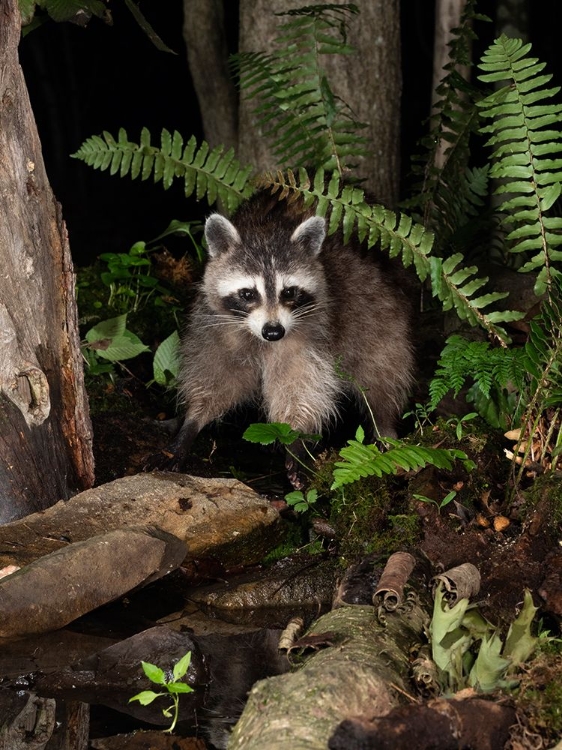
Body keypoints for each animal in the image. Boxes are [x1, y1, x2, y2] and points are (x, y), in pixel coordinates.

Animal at [158, 191, 412, 478]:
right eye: (248, 293)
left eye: (289, 292)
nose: (273, 331)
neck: (266, 229)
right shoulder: (215, 325)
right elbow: (215, 374)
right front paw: (192, 420)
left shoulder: (313, 330)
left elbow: (301, 384)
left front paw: (296, 436)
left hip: (378, 312)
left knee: (382, 369)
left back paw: (384, 424)